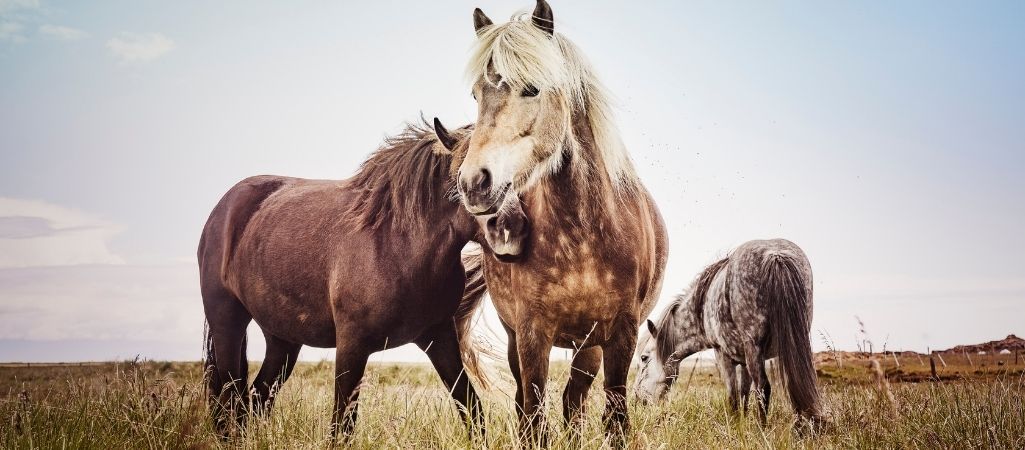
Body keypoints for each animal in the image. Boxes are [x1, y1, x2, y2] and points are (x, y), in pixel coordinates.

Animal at [199, 121, 487, 438]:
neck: (399, 243)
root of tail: (222, 209)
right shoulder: (352, 344)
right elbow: (342, 424)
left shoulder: (439, 336)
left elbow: (471, 406)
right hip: (227, 323)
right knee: (230, 398)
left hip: (282, 339)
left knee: (256, 397)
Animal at [442, 0, 672, 444]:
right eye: (477, 93)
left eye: (532, 88)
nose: (474, 183)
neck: (581, 238)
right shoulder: (533, 333)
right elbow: (534, 416)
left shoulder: (621, 334)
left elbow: (615, 417)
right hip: (519, 337)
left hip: (589, 346)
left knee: (574, 400)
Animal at [631, 239, 824, 426]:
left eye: (644, 358)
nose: (638, 400)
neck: (700, 309)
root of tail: (775, 256)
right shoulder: (744, 362)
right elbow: (744, 394)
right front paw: (742, 425)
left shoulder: (723, 355)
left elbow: (733, 397)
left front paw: (735, 425)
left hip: (754, 348)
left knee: (763, 388)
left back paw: (762, 429)